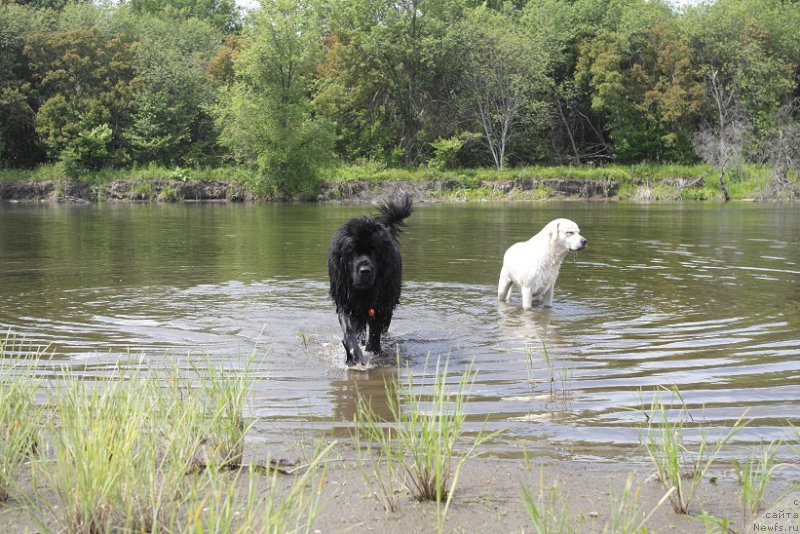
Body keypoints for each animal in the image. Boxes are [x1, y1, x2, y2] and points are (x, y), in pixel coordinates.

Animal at [326, 197, 412, 368]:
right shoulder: (346, 302)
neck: (363, 292)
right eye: (351, 251)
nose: (365, 270)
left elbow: (375, 331)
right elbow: (349, 331)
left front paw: (373, 351)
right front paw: (354, 355)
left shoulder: (381, 305)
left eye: (374, 251)